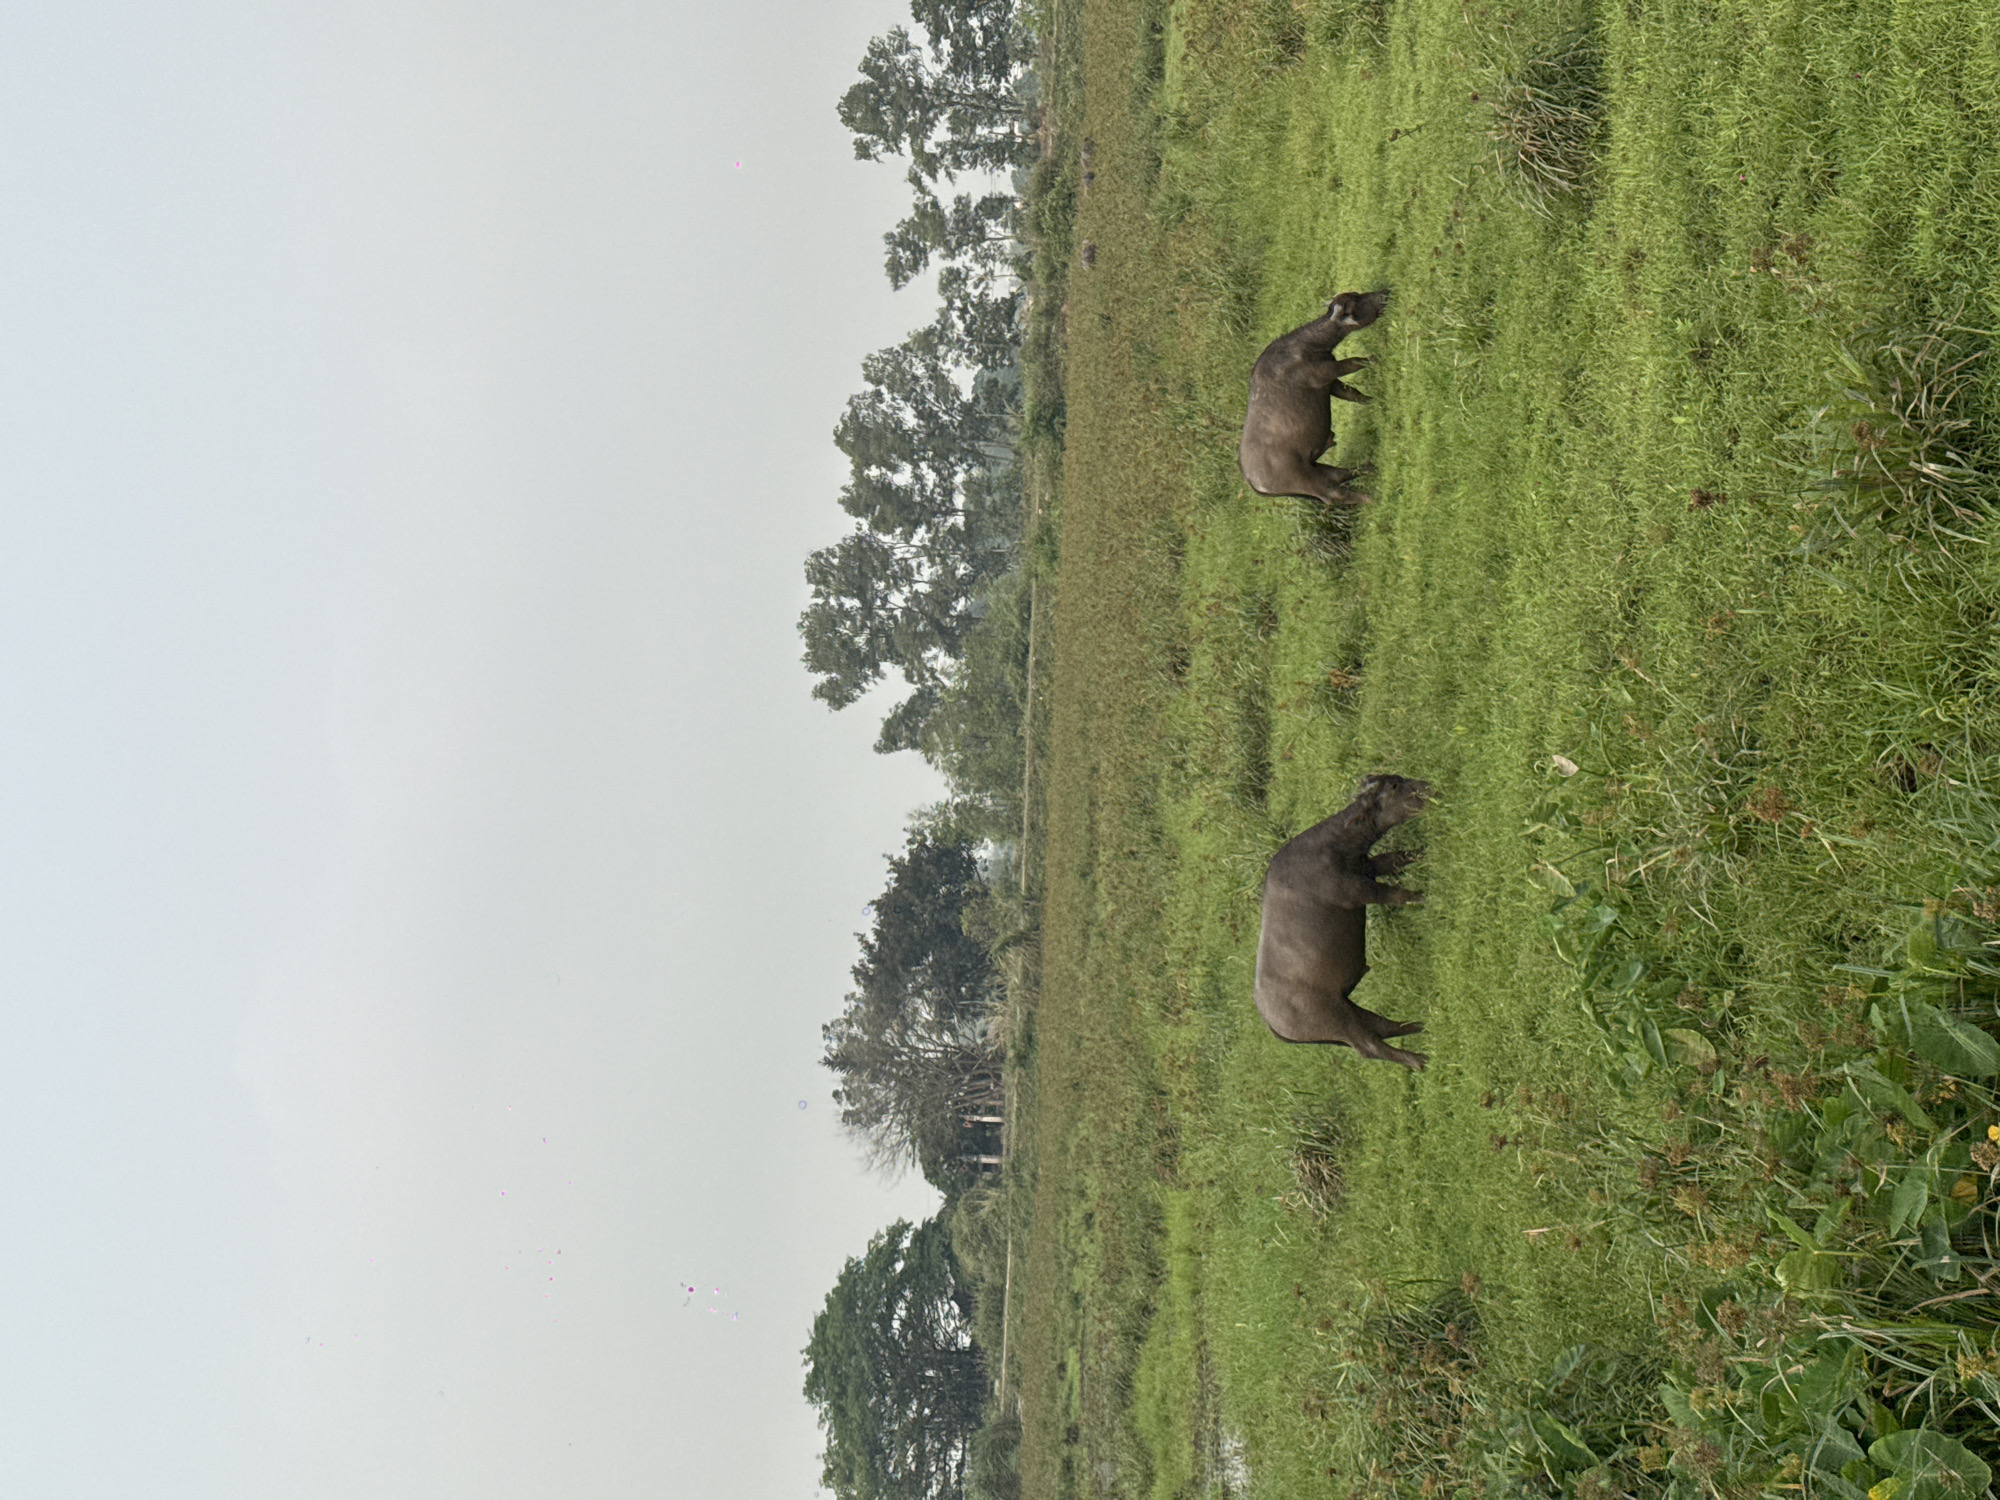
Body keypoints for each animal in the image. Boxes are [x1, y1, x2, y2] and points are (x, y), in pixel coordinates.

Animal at [1237, 289, 1388, 507]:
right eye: (1356, 302)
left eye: (1356, 294)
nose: (1384, 293)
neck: (1305, 346)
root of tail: (1251, 479)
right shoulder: (1327, 372)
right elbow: (1355, 362)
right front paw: (1376, 360)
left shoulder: (1330, 384)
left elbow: (1353, 394)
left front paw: (1374, 401)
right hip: (1304, 478)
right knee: (1333, 494)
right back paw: (1372, 498)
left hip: (1312, 466)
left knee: (1338, 475)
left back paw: (1370, 467)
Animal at [1253, 773, 1429, 1068]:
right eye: (1394, 787)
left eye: (1396, 777)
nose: (1427, 786)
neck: (1332, 847)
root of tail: (1268, 1019)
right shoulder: (1360, 890)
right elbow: (1395, 895)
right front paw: (1423, 896)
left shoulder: (1370, 866)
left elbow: (1398, 857)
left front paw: (1424, 852)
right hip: (1335, 1019)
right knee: (1369, 1045)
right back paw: (1418, 1060)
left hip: (1344, 1003)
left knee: (1379, 1024)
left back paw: (1416, 1025)